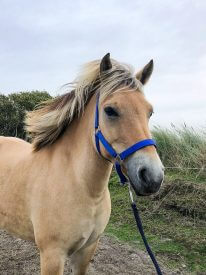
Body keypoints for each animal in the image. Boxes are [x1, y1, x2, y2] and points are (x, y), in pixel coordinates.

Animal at [0, 53, 164, 274]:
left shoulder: (86, 251)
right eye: (110, 110)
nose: (152, 177)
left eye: (150, 112)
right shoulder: (52, 255)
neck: (81, 187)